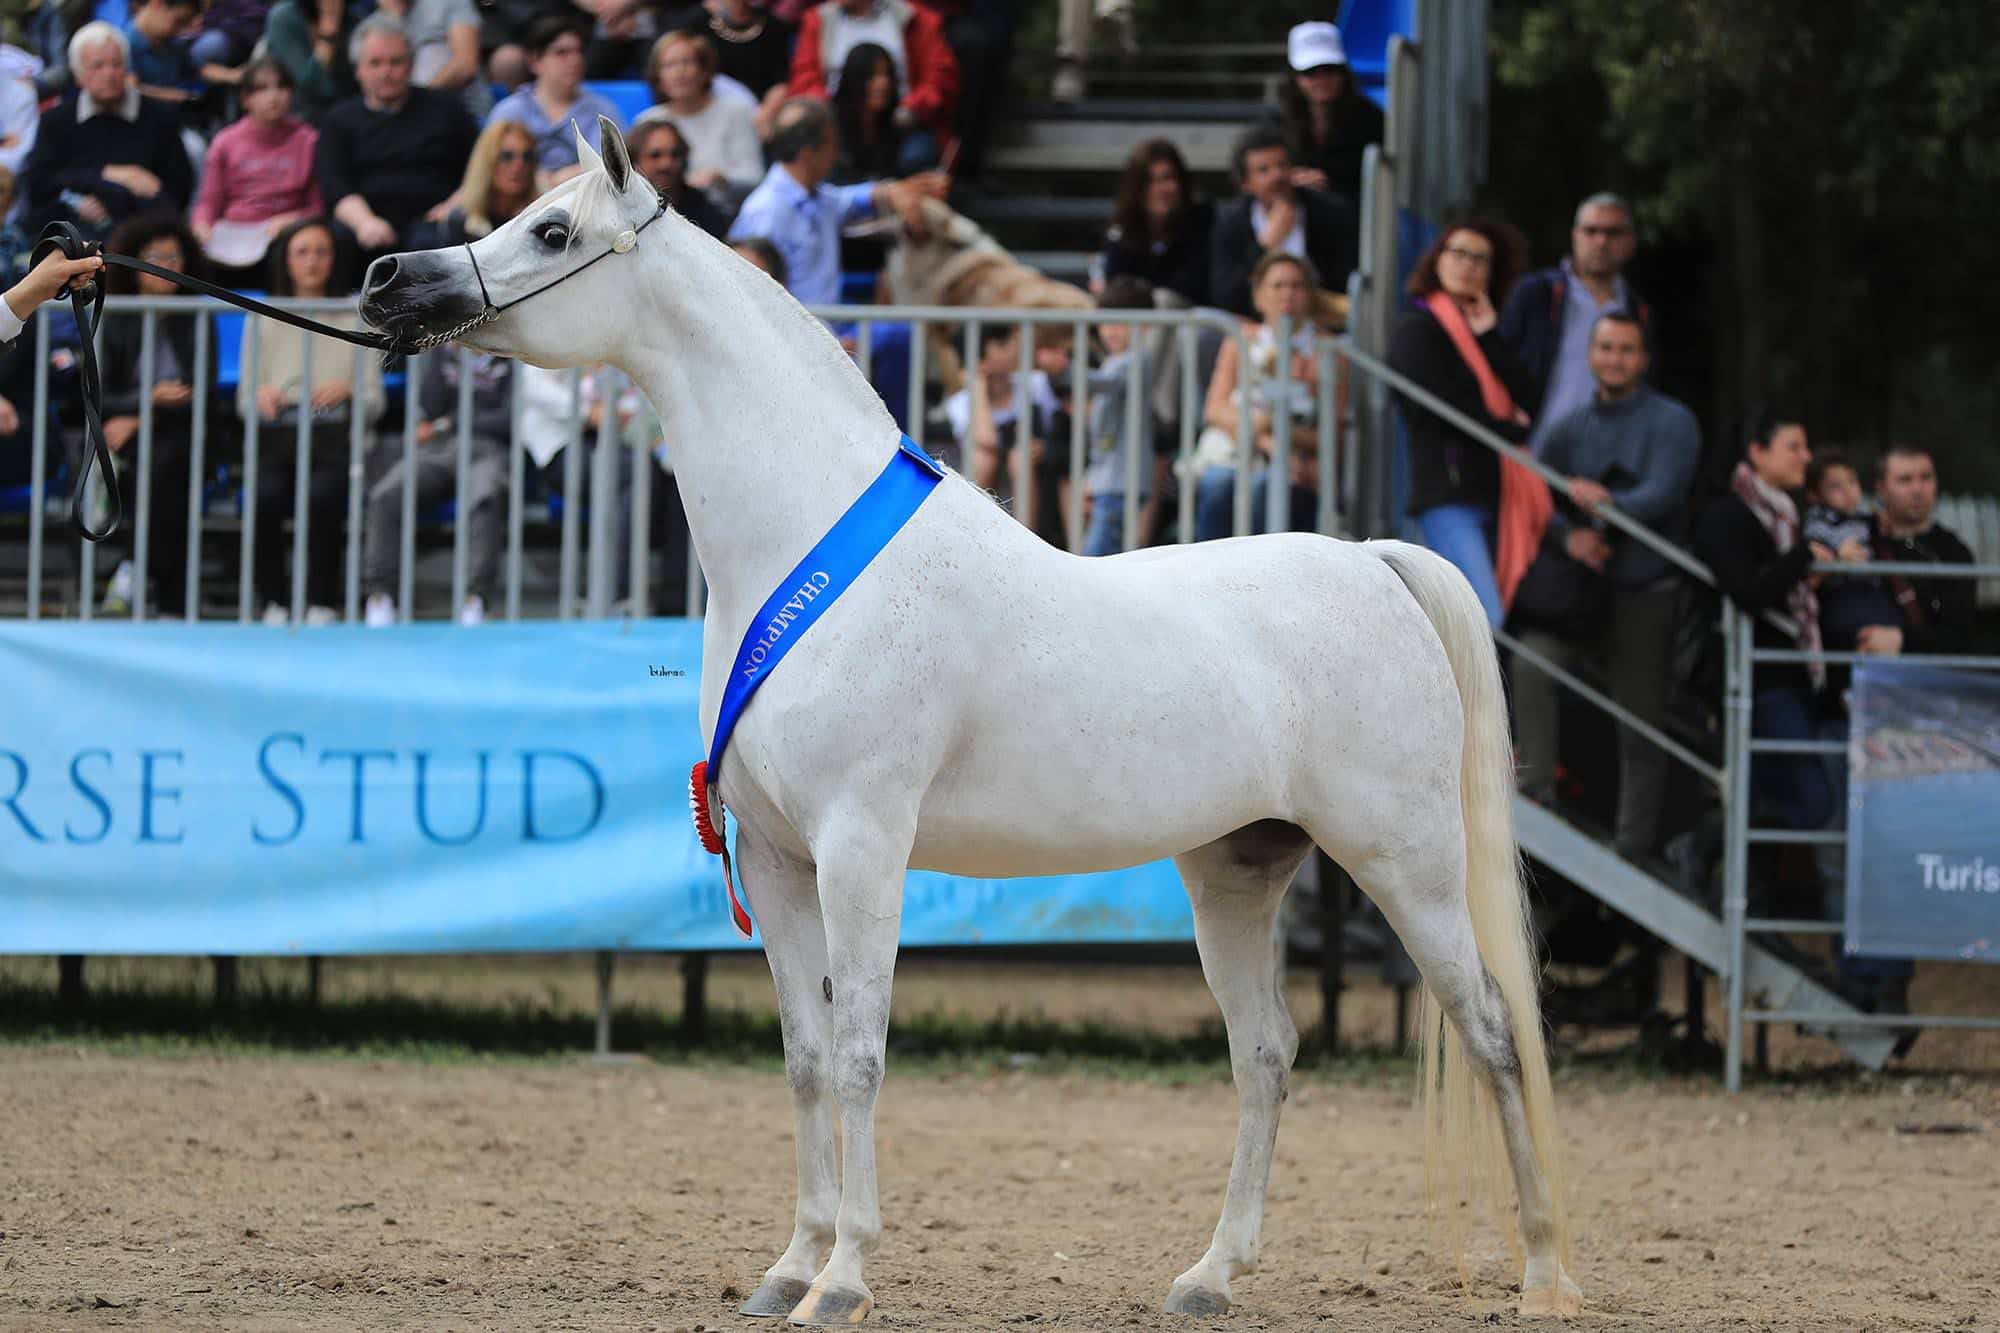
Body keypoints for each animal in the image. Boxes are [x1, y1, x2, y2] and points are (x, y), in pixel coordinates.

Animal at [356, 122, 1576, 1320]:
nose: (386, 280)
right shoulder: (779, 858)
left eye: (551, 231)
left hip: (1405, 858)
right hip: (1235, 869)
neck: (809, 542)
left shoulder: (860, 847)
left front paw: (843, 1279)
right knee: (1265, 1052)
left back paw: (1544, 1272)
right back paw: (1208, 1276)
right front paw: (788, 1267)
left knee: (1490, 1031)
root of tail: (1372, 564)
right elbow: (805, 1057)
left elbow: (858, 1053)